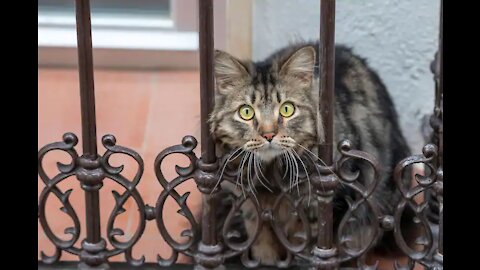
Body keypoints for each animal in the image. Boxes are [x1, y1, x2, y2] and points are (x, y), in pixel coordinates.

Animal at [207, 42, 412, 266]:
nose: (268, 134)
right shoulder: (253, 209)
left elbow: (307, 250)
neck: (271, 178)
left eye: (287, 109)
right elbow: (263, 247)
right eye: (246, 112)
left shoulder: (325, 207)